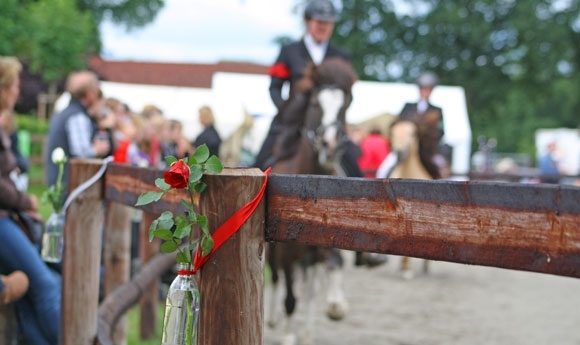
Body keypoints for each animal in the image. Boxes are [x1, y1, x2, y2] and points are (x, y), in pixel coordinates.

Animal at [266, 57, 356, 344]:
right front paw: (288, 336)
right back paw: (274, 320)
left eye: (346, 103)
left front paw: (337, 305)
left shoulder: (328, 243)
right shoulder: (284, 252)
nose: (331, 145)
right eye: (316, 102)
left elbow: (334, 267)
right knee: (278, 280)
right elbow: (290, 297)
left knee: (309, 290)